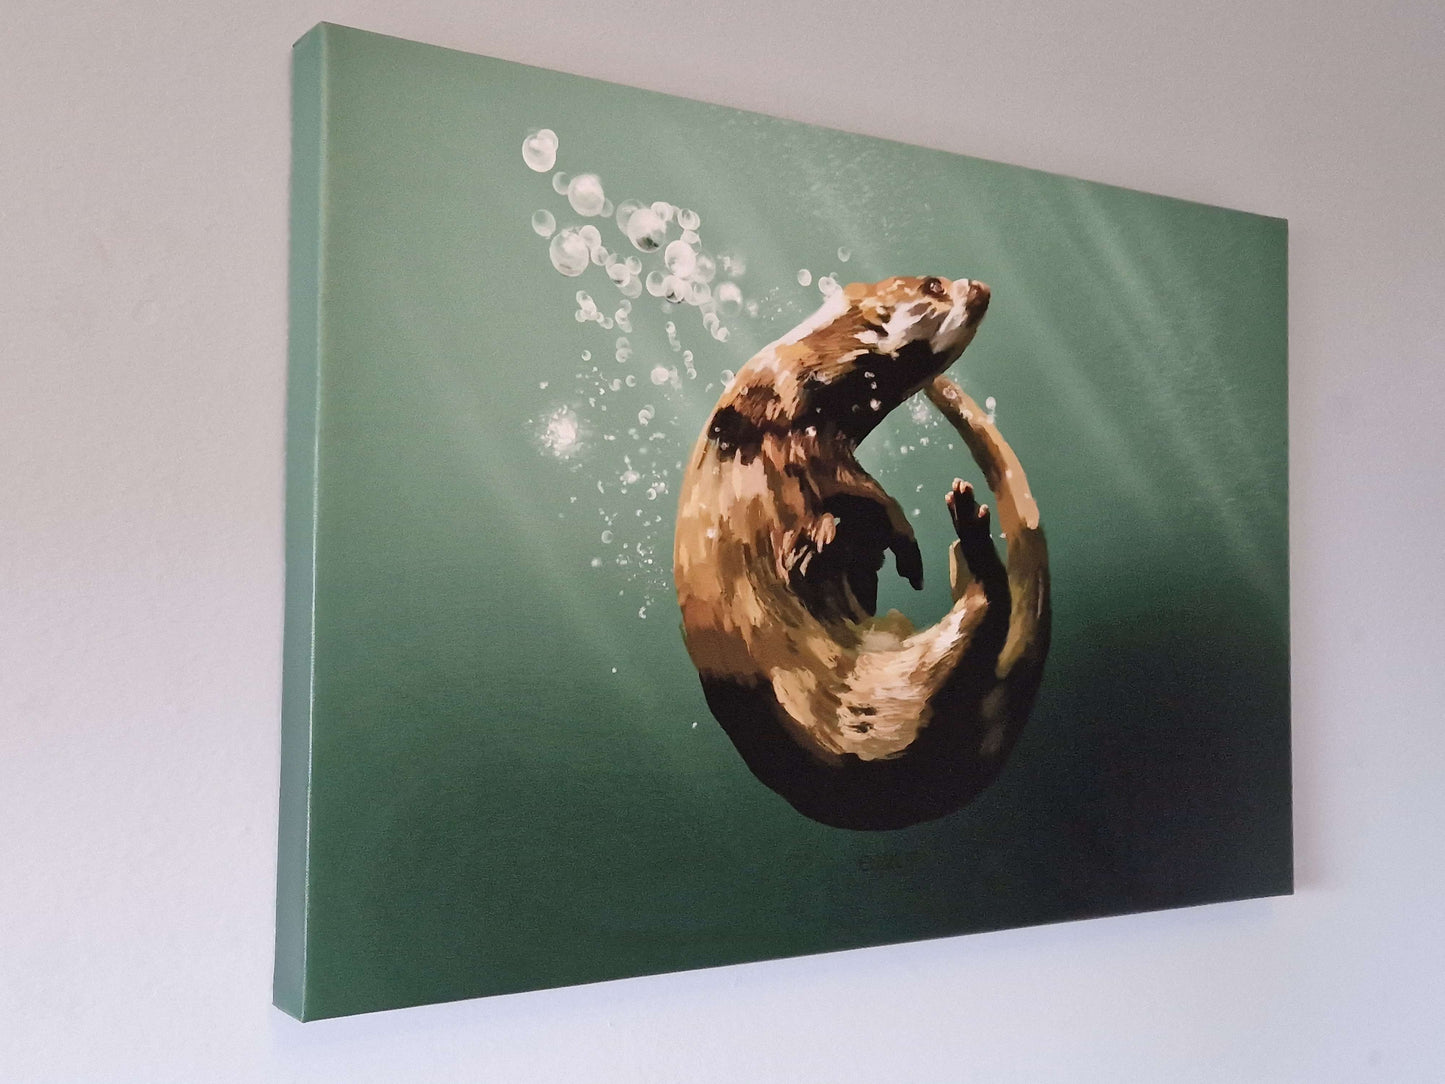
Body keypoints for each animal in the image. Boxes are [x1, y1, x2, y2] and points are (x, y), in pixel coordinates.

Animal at [673, 275, 1050, 830]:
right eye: (933, 284)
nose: (978, 285)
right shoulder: (804, 452)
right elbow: (869, 505)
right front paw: (890, 551)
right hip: (906, 708)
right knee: (986, 608)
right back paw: (968, 528)